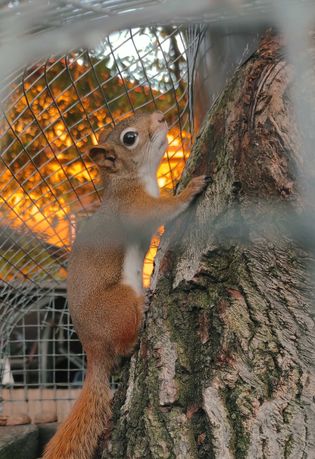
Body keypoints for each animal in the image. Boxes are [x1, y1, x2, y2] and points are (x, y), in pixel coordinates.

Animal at [42, 111, 210, 459]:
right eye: (130, 138)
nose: (160, 117)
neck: (130, 180)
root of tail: (92, 350)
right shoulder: (136, 209)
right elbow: (165, 209)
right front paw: (189, 190)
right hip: (119, 303)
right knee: (122, 344)